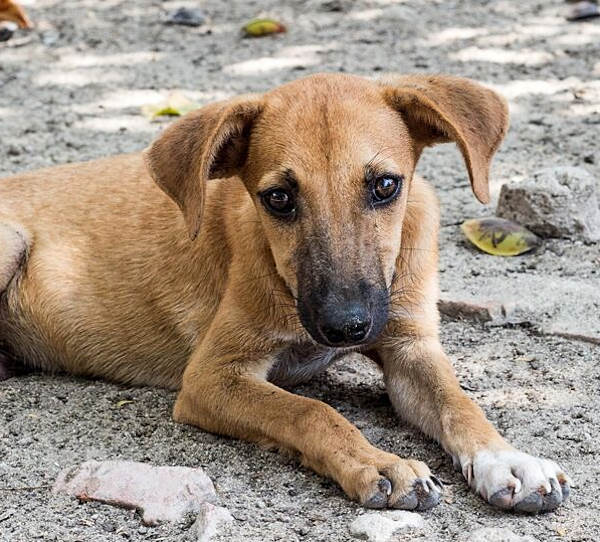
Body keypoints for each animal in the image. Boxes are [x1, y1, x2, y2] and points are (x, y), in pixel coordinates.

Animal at [0, 74, 572, 516]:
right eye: (278, 198)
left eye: (386, 185)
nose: (346, 326)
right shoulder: (211, 377)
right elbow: (308, 411)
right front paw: (378, 462)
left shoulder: (409, 344)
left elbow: (459, 403)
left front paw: (507, 459)